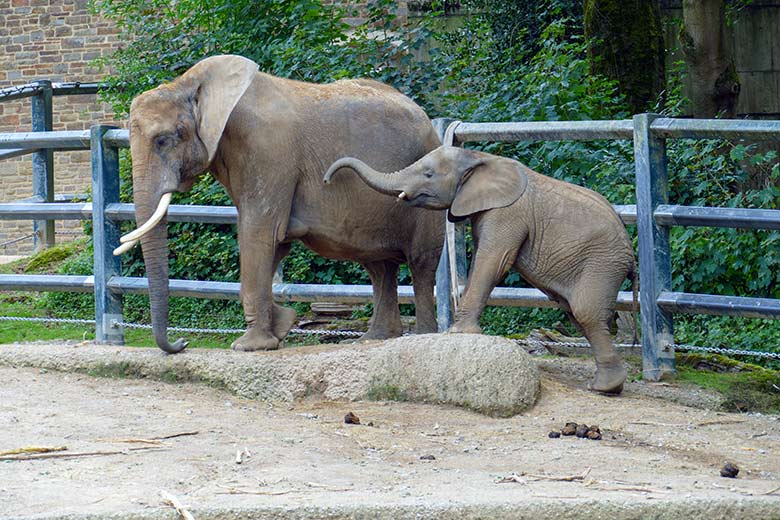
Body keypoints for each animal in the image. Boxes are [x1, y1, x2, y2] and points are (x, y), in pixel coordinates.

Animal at [116, 54, 444, 354]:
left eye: (164, 139)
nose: (183, 343)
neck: (190, 84)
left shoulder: (268, 151)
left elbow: (259, 233)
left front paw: (249, 346)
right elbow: (275, 241)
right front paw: (282, 324)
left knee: (421, 263)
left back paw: (424, 336)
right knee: (379, 266)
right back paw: (373, 338)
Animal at [326, 146, 636, 394]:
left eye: (428, 174)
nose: (327, 180)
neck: (480, 158)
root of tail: (630, 255)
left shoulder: (507, 213)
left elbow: (493, 261)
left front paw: (457, 332)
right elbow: (481, 261)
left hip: (602, 263)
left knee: (585, 312)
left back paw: (603, 388)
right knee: (576, 313)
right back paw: (607, 385)